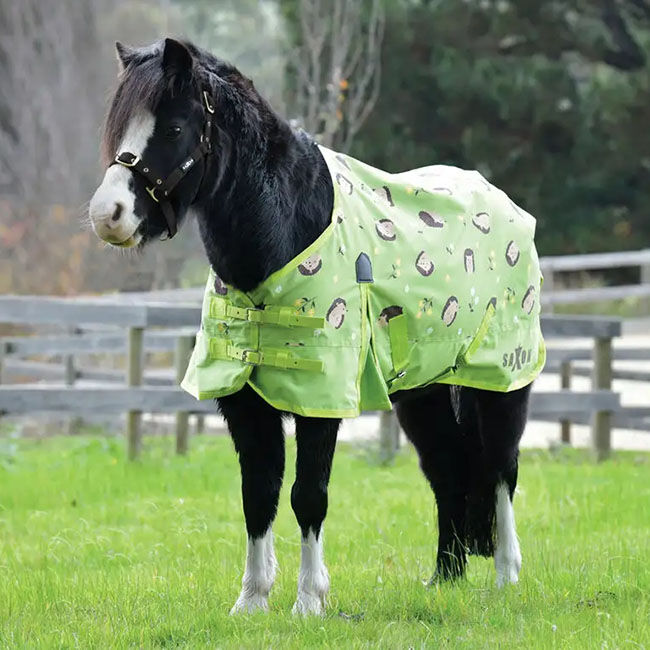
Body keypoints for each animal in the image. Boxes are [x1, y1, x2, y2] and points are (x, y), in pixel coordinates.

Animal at [89, 38, 536, 615]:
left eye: (173, 128)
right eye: (120, 127)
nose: (108, 214)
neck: (286, 230)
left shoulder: (321, 399)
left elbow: (308, 496)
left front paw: (309, 602)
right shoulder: (245, 402)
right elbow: (257, 495)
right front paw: (252, 601)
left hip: (501, 381)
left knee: (501, 468)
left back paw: (505, 576)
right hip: (423, 392)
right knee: (447, 468)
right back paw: (444, 579)